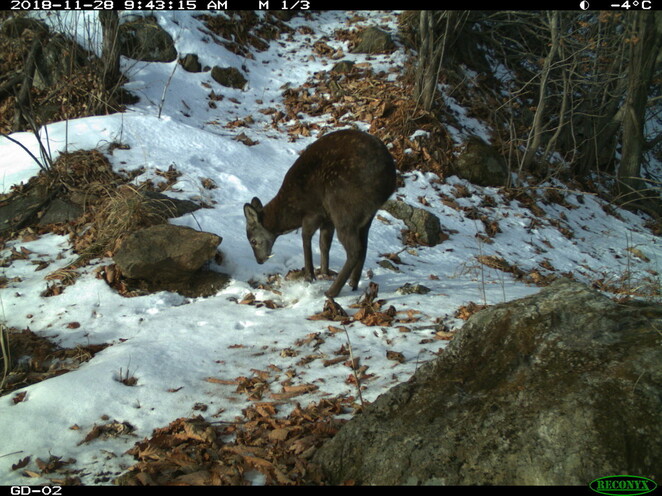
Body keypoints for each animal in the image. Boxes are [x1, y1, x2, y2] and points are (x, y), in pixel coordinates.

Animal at [245, 129, 396, 298]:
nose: (259, 260)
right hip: (366, 217)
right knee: (364, 246)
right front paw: (324, 272)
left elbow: (306, 238)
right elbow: (324, 244)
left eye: (253, 241)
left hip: (343, 208)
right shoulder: (327, 219)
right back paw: (353, 283)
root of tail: (389, 182)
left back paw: (332, 292)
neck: (292, 212)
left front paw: (309, 276)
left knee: (355, 249)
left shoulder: (313, 213)